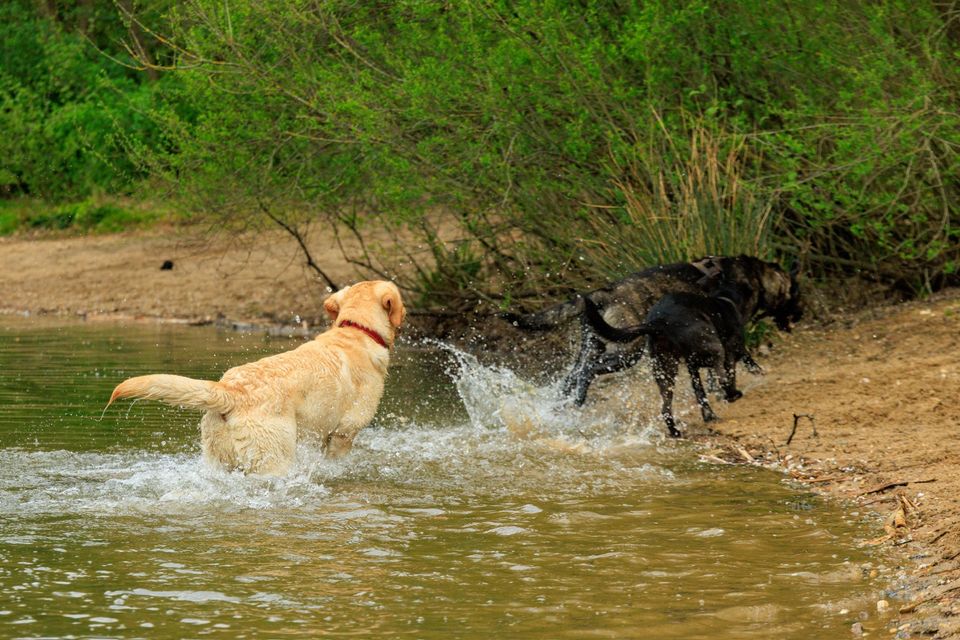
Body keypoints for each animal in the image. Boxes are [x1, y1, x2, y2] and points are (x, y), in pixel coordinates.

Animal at [502, 255, 804, 404]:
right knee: (588, 373)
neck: (753, 276)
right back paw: (578, 401)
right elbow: (741, 361)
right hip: (627, 353)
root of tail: (603, 293)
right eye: (797, 295)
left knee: (572, 377)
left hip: (592, 349)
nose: (802, 315)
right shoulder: (729, 335)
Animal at [580, 290, 760, 440]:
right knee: (723, 379)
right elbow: (734, 370)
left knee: (666, 409)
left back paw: (676, 432)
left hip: (665, 370)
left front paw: (709, 416)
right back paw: (733, 395)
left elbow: (700, 393)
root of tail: (659, 322)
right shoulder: (732, 349)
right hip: (715, 349)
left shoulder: (692, 367)